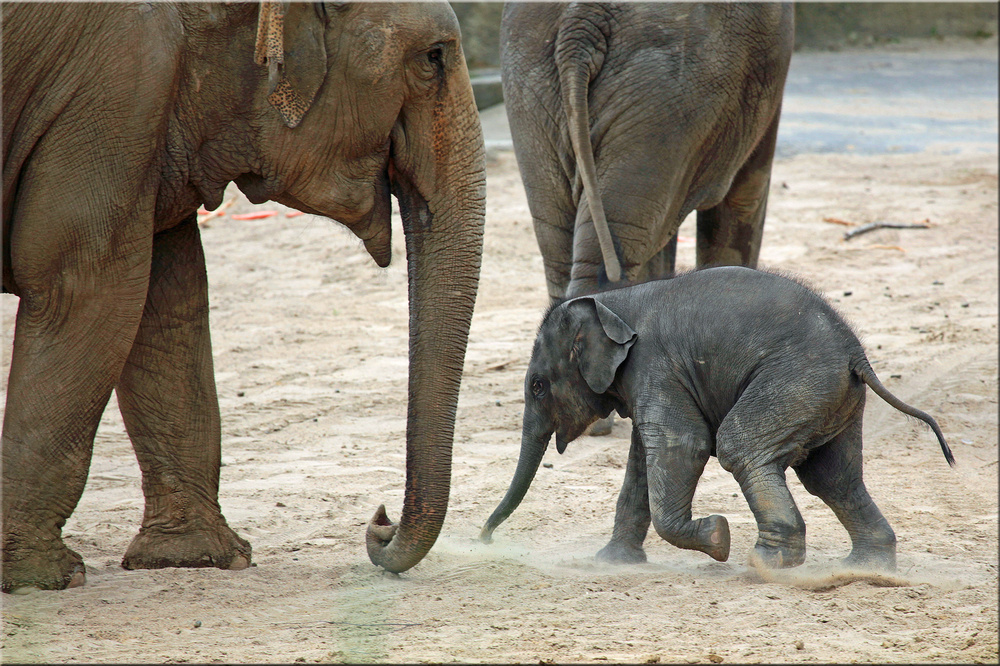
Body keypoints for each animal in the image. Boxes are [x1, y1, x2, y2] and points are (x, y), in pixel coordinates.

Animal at [0, 1, 484, 592]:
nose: (380, 522)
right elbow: (86, 286)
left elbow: (168, 297)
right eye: (433, 58)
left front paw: (198, 559)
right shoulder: (113, 91)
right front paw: (43, 578)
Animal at [480, 268, 956, 568]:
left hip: (796, 381)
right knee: (833, 477)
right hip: (831, 399)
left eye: (538, 387)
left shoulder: (655, 366)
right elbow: (643, 462)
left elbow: (683, 445)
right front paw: (609, 564)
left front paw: (718, 537)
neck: (612, 300)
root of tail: (856, 353)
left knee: (741, 447)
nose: (483, 539)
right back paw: (866, 567)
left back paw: (766, 564)